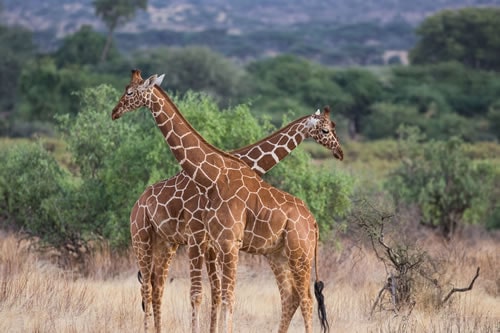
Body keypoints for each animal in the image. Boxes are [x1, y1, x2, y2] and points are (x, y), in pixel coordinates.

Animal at [111, 68, 334, 330]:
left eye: (129, 92)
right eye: (326, 129)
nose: (115, 112)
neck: (215, 174)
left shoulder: (213, 242)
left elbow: (217, 295)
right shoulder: (204, 239)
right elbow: (207, 294)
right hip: (145, 237)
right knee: (150, 287)